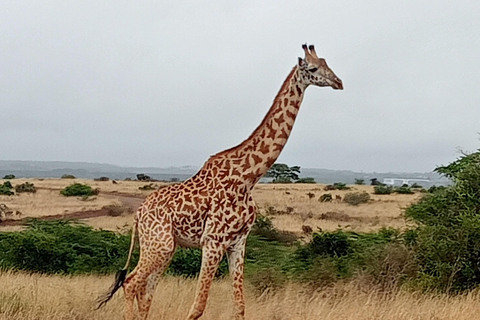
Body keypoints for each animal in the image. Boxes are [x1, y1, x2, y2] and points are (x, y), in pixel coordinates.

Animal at [98, 44, 342, 320]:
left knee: (145, 292)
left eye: (327, 63)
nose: (339, 82)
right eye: (313, 69)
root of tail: (138, 214)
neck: (248, 177)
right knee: (130, 284)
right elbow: (198, 306)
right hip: (158, 245)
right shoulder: (213, 241)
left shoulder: (238, 242)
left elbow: (240, 306)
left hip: (164, 247)